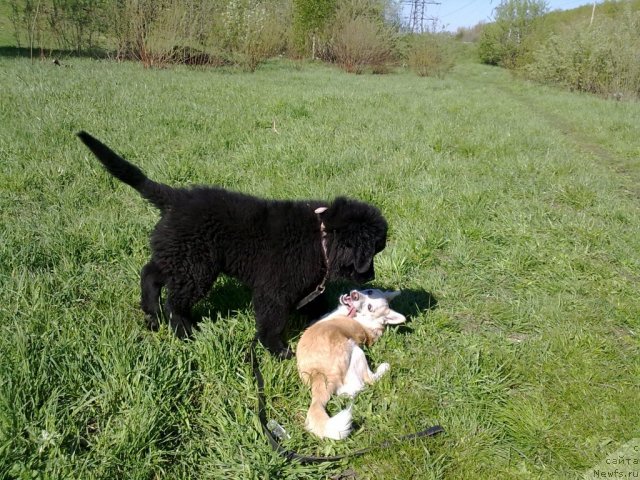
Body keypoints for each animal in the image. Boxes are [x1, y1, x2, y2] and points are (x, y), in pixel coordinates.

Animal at [80, 131, 390, 356]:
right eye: (372, 253)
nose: (371, 275)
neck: (321, 238)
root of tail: (175, 198)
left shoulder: (305, 286)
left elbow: (315, 305)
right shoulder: (274, 289)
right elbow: (272, 321)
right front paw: (278, 351)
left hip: (180, 256)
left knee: (150, 274)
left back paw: (152, 315)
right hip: (196, 267)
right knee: (174, 302)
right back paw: (186, 332)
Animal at [296, 286, 404, 440]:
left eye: (370, 307)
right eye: (370, 291)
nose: (354, 296)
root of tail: (320, 375)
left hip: (356, 350)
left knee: (367, 380)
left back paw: (384, 367)